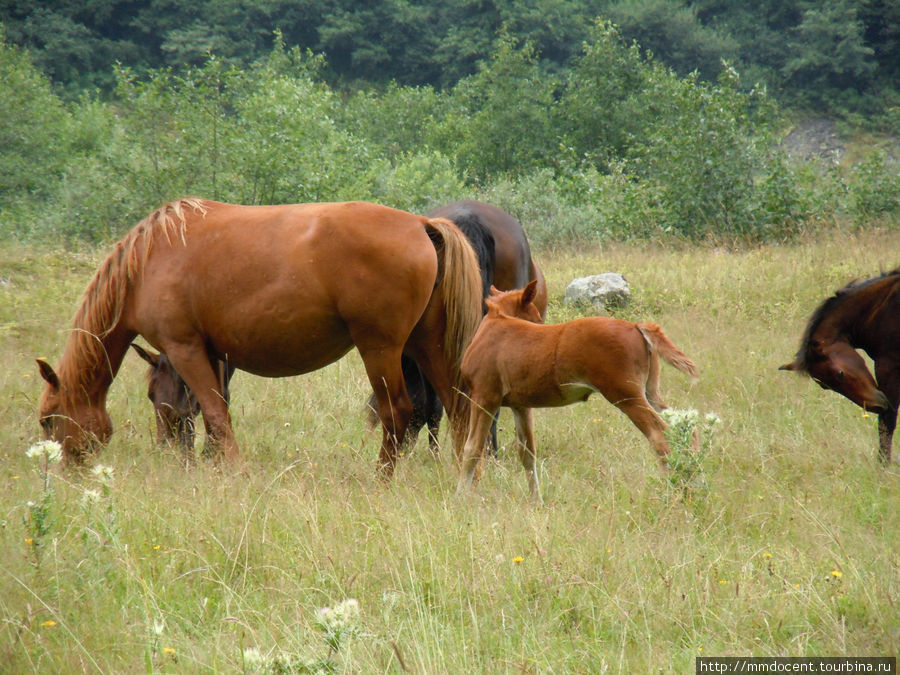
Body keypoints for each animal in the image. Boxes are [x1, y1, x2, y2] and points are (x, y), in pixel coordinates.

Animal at [37, 199, 482, 476]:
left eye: (48, 420)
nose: (62, 470)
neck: (149, 259)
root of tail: (422, 225)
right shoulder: (215, 356)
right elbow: (215, 412)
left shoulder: (186, 349)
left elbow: (217, 416)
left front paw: (232, 470)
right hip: (428, 347)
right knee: (459, 409)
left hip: (381, 349)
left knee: (399, 412)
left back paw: (382, 478)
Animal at [458, 282, 696, 502]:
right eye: (534, 317)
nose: (541, 324)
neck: (494, 327)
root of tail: (637, 326)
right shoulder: (521, 405)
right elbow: (527, 453)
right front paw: (537, 502)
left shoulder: (485, 398)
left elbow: (472, 449)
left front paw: (460, 499)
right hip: (649, 393)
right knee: (685, 426)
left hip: (625, 395)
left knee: (660, 436)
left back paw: (675, 491)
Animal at [780, 270, 900, 464]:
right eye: (824, 386)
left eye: (840, 373)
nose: (875, 406)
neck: (880, 308)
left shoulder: (888, 366)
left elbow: (887, 421)